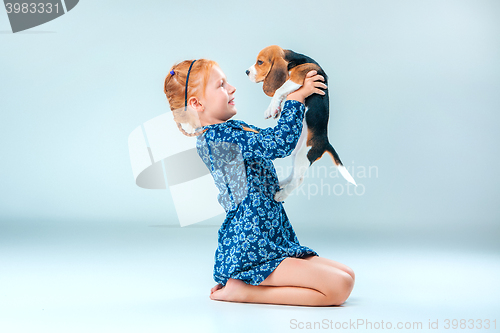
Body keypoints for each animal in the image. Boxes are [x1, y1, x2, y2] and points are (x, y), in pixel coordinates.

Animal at [245, 43, 356, 200]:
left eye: (260, 62)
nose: (246, 72)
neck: (293, 61)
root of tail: (325, 142)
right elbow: (281, 92)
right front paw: (273, 109)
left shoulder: (296, 78)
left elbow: (279, 90)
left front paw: (273, 107)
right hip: (295, 153)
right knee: (292, 175)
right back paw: (281, 182)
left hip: (303, 155)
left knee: (298, 180)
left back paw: (281, 195)